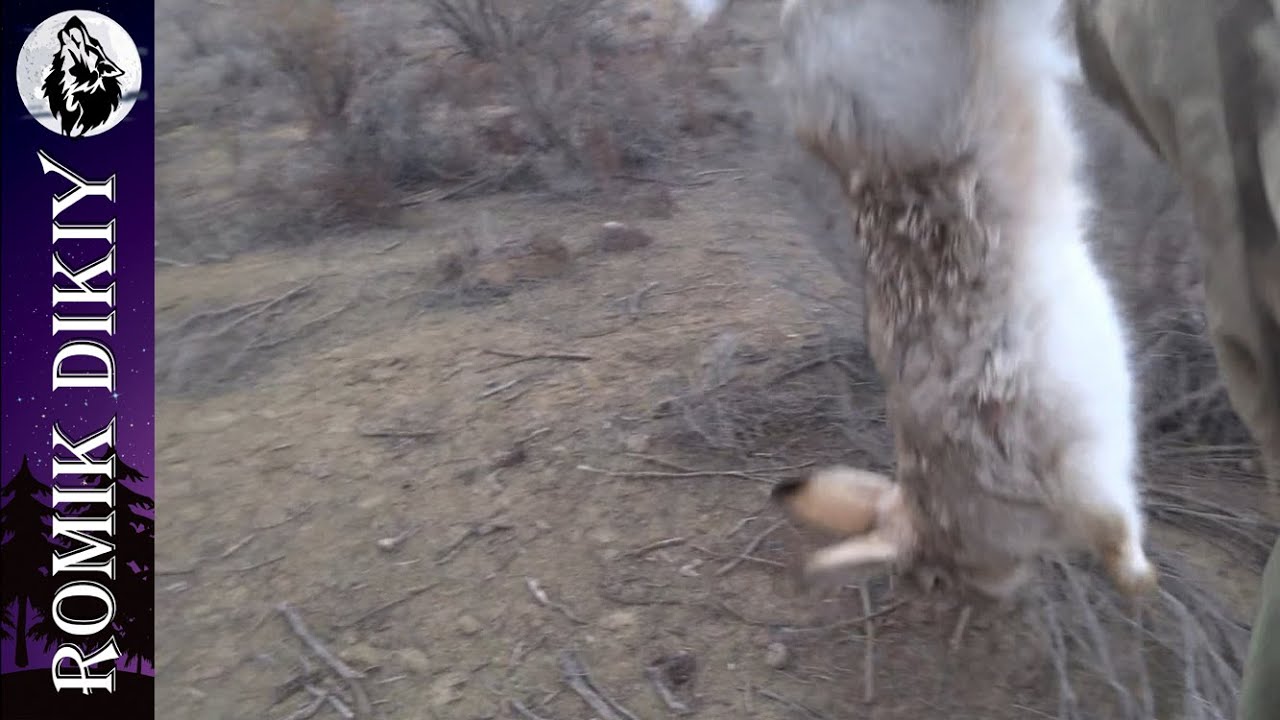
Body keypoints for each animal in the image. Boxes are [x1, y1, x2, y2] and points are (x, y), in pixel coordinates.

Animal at [767, 0, 1157, 600]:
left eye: (933, 576)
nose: (982, 587)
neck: (940, 510)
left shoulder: (1064, 471)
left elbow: (1113, 531)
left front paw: (1139, 579)